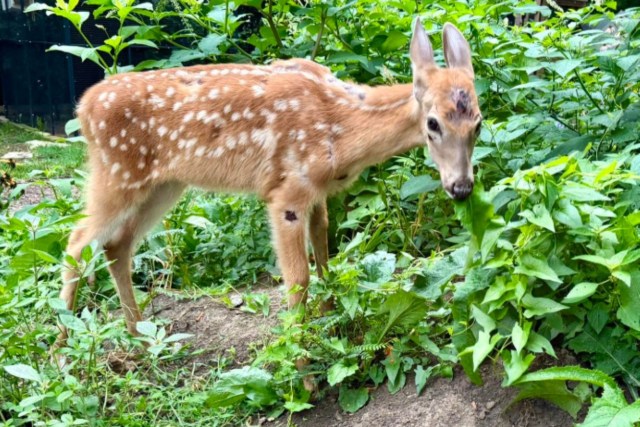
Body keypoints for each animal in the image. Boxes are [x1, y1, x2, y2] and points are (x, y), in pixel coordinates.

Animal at [56, 19, 481, 376]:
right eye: (432, 123)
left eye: (477, 122)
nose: (461, 186)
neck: (341, 128)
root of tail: (84, 106)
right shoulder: (286, 192)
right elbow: (298, 278)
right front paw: (301, 366)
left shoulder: (317, 193)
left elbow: (325, 254)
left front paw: (332, 327)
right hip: (116, 172)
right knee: (76, 241)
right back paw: (62, 347)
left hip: (163, 184)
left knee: (116, 243)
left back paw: (140, 338)